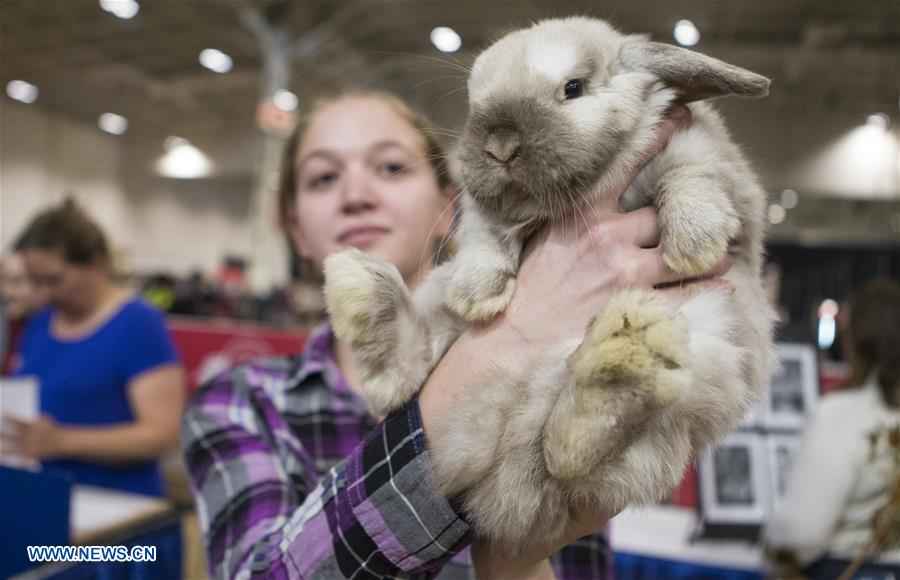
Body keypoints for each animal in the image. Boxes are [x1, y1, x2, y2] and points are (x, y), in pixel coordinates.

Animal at [324, 17, 772, 552]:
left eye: (572, 88)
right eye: (474, 103)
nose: (500, 145)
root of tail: (499, 495)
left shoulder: (706, 157)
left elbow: (691, 174)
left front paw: (694, 241)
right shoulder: (481, 214)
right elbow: (485, 235)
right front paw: (477, 293)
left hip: (707, 348)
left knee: (573, 458)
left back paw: (621, 357)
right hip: (436, 302)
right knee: (405, 378)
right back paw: (360, 292)